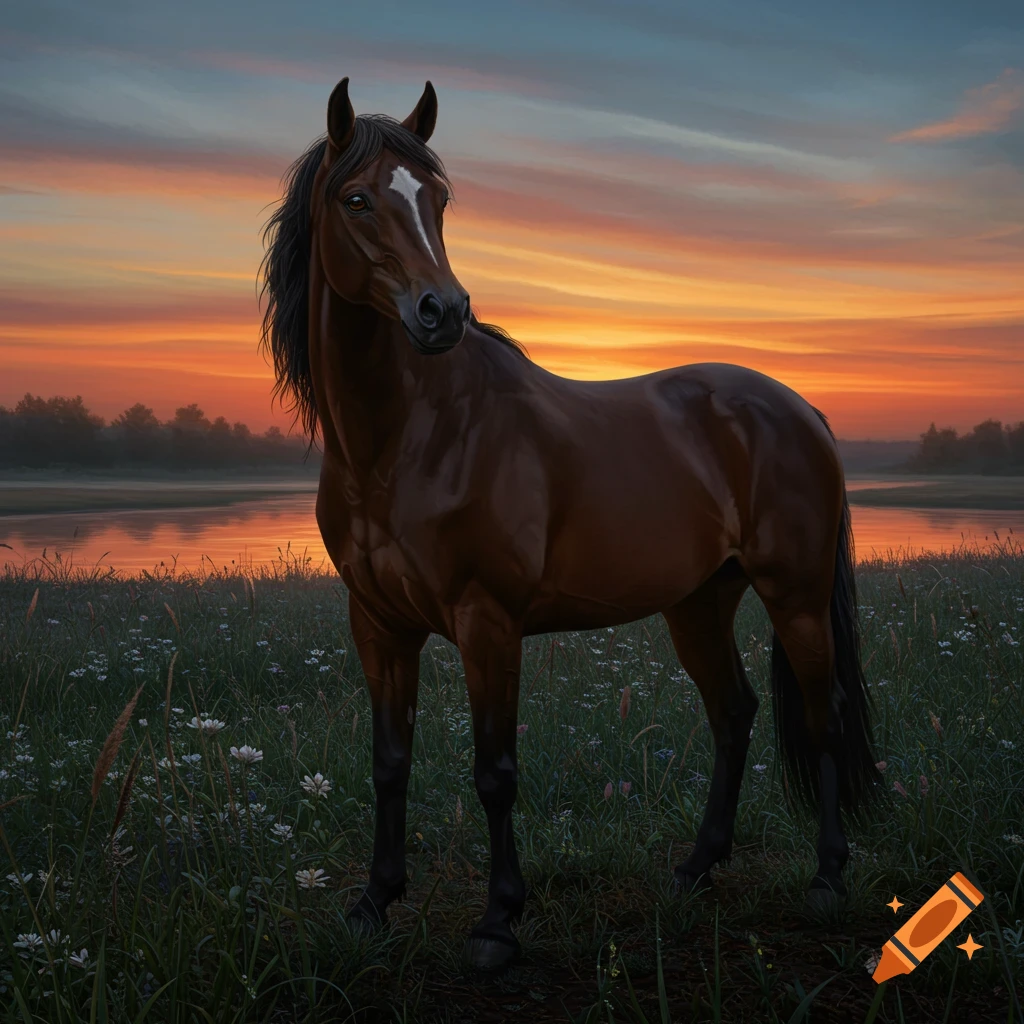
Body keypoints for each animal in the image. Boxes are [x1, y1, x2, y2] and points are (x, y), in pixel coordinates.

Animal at [260, 77, 882, 972]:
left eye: (438, 198)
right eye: (356, 199)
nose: (442, 312)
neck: (408, 438)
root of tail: (800, 411)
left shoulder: (488, 622)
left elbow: (494, 770)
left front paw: (497, 922)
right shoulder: (377, 625)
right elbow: (389, 762)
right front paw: (374, 903)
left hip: (793, 597)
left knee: (821, 715)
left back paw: (827, 880)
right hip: (699, 603)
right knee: (733, 714)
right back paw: (695, 869)